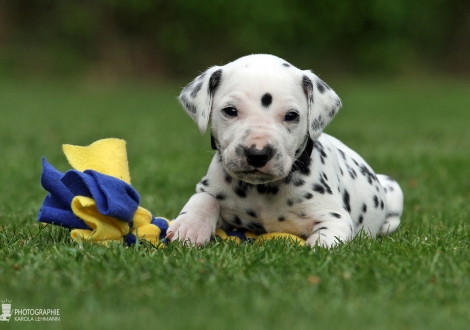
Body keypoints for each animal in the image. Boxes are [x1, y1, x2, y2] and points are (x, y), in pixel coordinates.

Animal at [166, 53, 404, 248]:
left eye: (291, 115)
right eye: (230, 111)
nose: (258, 154)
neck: (262, 191)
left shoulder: (333, 216)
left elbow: (328, 237)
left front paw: (319, 246)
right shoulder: (211, 189)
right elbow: (204, 198)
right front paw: (189, 226)